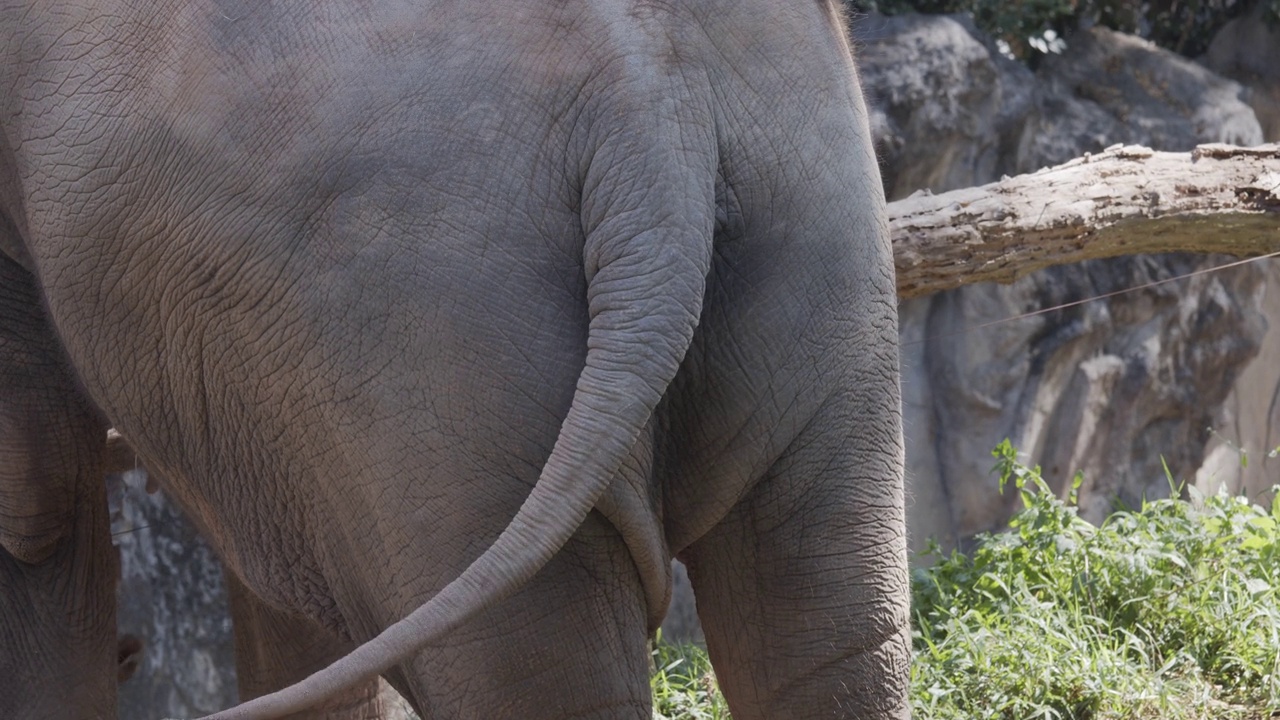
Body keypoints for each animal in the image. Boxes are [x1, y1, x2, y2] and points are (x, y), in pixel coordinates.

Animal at [0, 1, 911, 717]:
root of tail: (656, 108)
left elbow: (38, 512)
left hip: (422, 350)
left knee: (523, 673)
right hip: (817, 239)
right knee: (834, 629)